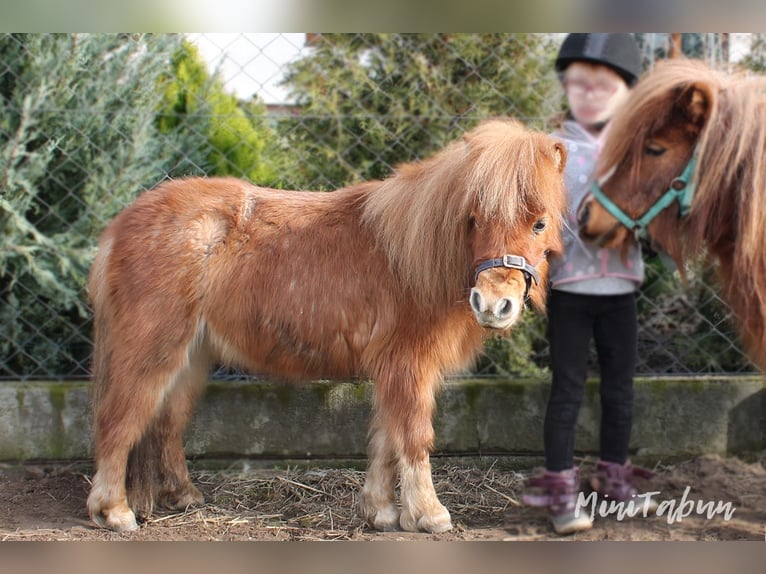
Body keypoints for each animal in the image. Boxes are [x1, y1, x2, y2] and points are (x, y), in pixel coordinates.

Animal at [87, 118, 568, 536]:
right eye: (474, 219)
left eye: (539, 223)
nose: (493, 305)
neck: (410, 257)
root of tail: (121, 224)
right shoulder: (408, 367)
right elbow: (413, 437)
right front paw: (429, 514)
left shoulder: (392, 370)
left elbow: (385, 440)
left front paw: (380, 512)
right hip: (152, 351)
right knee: (119, 420)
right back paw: (114, 511)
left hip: (192, 358)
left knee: (165, 422)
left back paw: (183, 496)